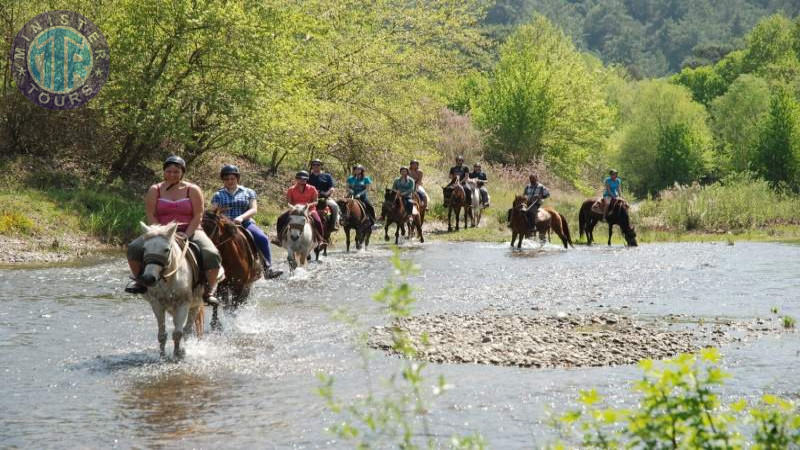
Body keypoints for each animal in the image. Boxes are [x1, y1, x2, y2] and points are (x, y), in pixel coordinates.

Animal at [137, 221, 203, 358]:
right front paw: (162, 356)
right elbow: (162, 334)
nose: (149, 278)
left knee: (187, 329)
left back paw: (184, 350)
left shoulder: (184, 303)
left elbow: (178, 333)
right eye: (144, 249)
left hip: (196, 304)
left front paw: (177, 354)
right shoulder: (157, 304)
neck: (169, 278)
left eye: (166, 250)